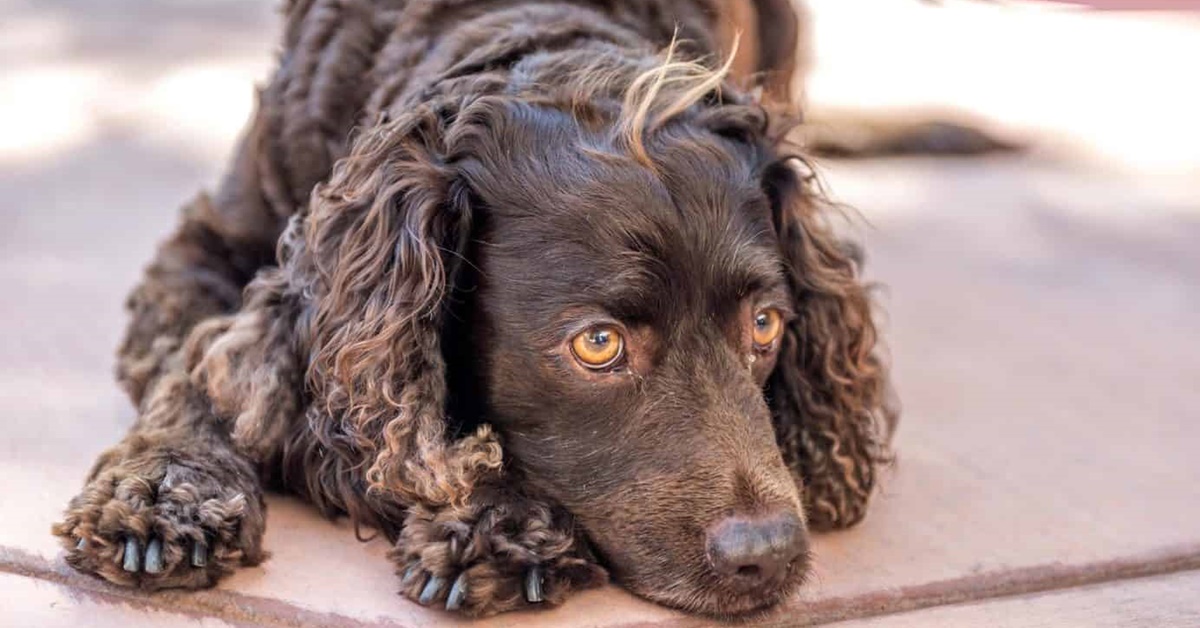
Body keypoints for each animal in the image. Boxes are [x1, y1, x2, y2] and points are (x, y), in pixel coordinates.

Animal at [56, 0, 897, 619]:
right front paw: (165, 492)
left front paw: (498, 520)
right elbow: (198, 369)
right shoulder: (205, 251)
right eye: (598, 344)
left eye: (765, 325)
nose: (770, 554)